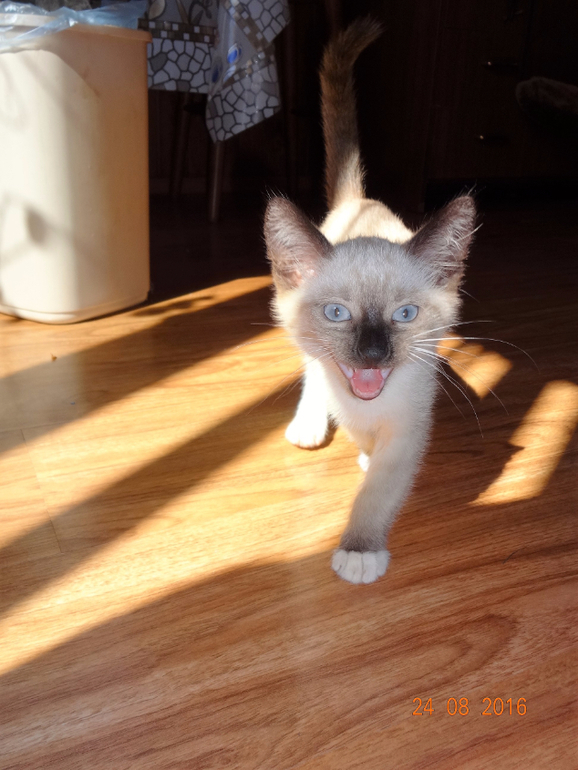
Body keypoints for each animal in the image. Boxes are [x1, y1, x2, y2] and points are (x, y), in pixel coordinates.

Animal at [264, 18, 476, 584]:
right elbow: (339, 405)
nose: (374, 356)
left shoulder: (408, 432)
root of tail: (360, 201)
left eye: (405, 315)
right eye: (338, 313)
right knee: (311, 370)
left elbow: (376, 492)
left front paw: (359, 549)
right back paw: (309, 425)